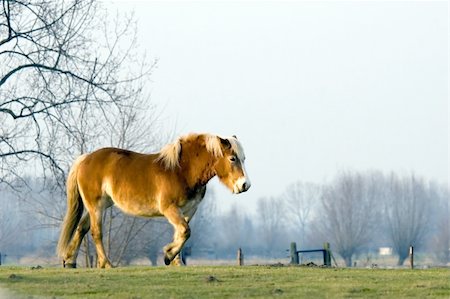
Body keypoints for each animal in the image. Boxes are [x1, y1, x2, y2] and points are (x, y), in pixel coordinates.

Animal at [56, 132, 250, 268]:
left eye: (243, 158)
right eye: (232, 158)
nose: (245, 185)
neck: (182, 170)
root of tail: (85, 158)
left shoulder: (188, 210)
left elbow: (180, 233)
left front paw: (175, 261)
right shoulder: (169, 208)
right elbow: (185, 231)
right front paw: (168, 255)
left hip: (100, 205)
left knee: (82, 228)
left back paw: (70, 261)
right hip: (95, 205)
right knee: (96, 233)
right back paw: (106, 264)